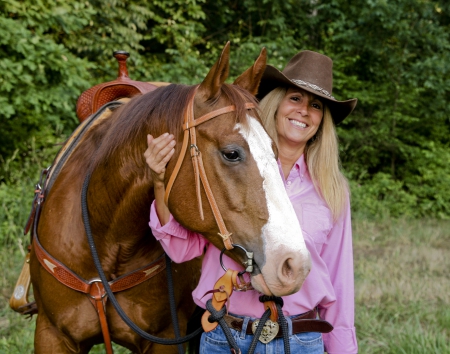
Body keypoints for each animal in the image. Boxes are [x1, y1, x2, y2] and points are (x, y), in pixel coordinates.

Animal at [28, 42, 310, 352]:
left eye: (274, 150)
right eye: (231, 153)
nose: (293, 265)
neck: (103, 234)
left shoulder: (165, 338)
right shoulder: (52, 334)